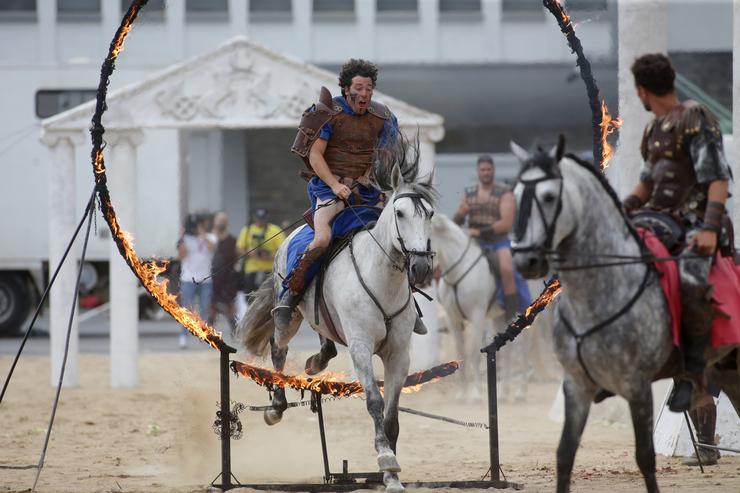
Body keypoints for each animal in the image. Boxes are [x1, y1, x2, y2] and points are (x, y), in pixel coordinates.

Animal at [236, 139, 434, 492]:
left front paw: (391, 474)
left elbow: (392, 413)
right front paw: (386, 458)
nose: (421, 267)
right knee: (278, 348)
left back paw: (316, 361)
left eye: (431, 215)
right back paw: (276, 406)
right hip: (290, 319)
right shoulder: (360, 347)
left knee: (323, 339)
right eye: (400, 213)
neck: (382, 279)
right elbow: (374, 402)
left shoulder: (399, 354)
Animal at [508, 139, 740, 492]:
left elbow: (645, 458)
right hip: (725, 369)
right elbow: (564, 455)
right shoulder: (576, 385)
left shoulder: (637, 385)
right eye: (518, 194)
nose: (525, 261)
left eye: (549, 197)